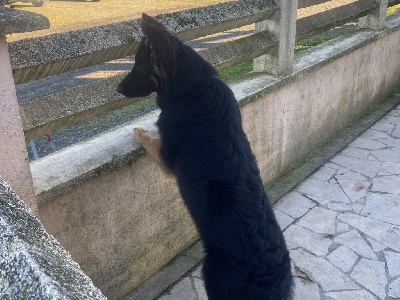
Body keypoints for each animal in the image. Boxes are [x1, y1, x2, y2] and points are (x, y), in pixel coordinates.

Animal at [117, 12, 292, 298]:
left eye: (141, 68)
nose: (118, 89)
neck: (196, 87)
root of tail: (269, 275)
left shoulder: (166, 156)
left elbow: (150, 138)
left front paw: (138, 130)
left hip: (211, 274)